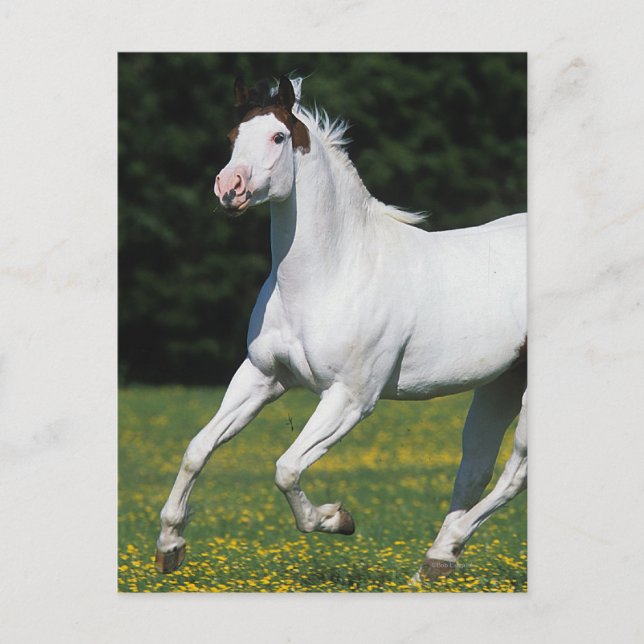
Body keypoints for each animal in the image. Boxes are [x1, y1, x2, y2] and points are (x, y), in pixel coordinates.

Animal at [154, 75, 527, 582]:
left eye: (279, 137)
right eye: (233, 136)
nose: (229, 188)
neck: (333, 273)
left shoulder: (350, 398)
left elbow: (287, 468)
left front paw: (337, 519)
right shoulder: (262, 377)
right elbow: (198, 448)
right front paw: (170, 546)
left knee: (516, 471)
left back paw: (445, 548)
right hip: (500, 384)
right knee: (476, 466)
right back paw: (435, 562)